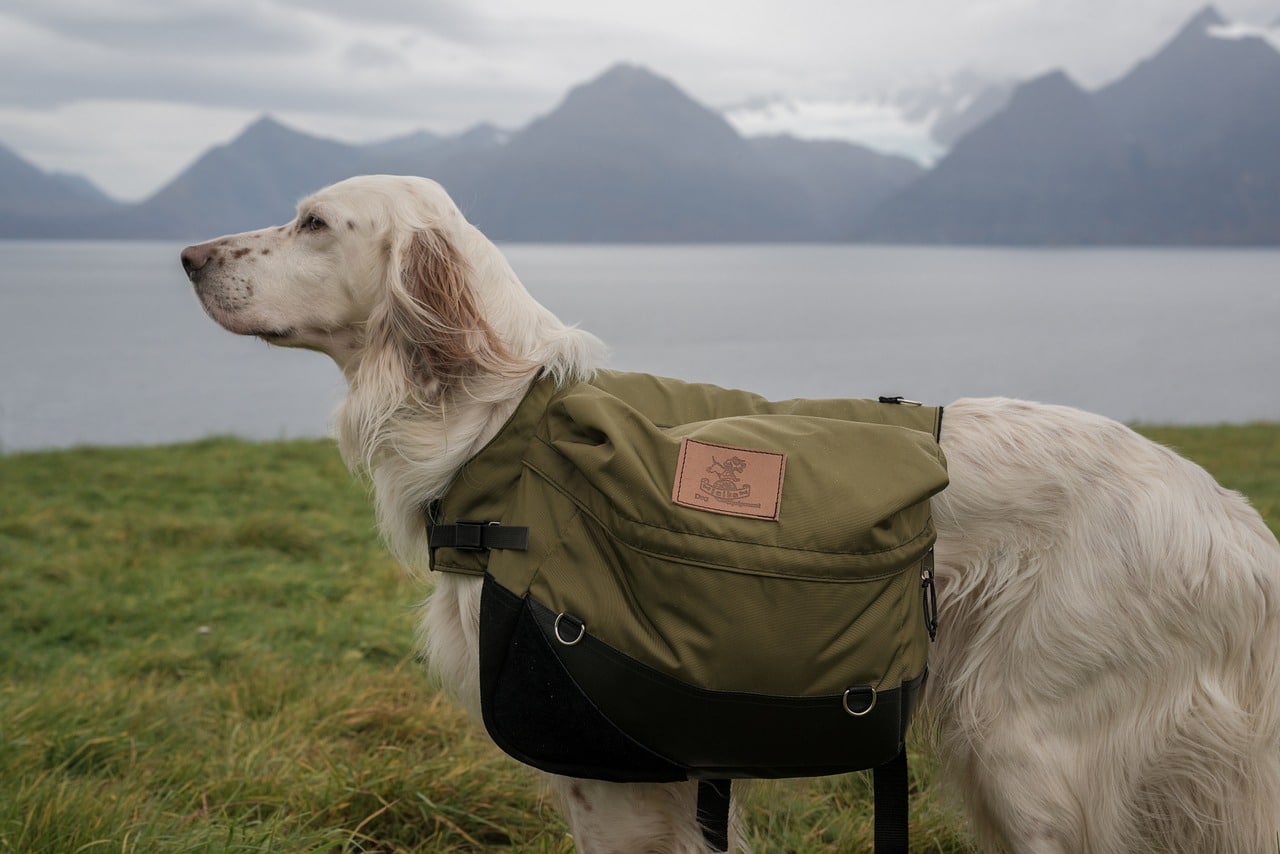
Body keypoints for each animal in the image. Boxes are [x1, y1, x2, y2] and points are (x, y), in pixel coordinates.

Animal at [180, 175, 1280, 854]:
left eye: (314, 223)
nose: (187, 255)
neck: (500, 423)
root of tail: (1229, 521)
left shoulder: (616, 783)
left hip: (1029, 750)